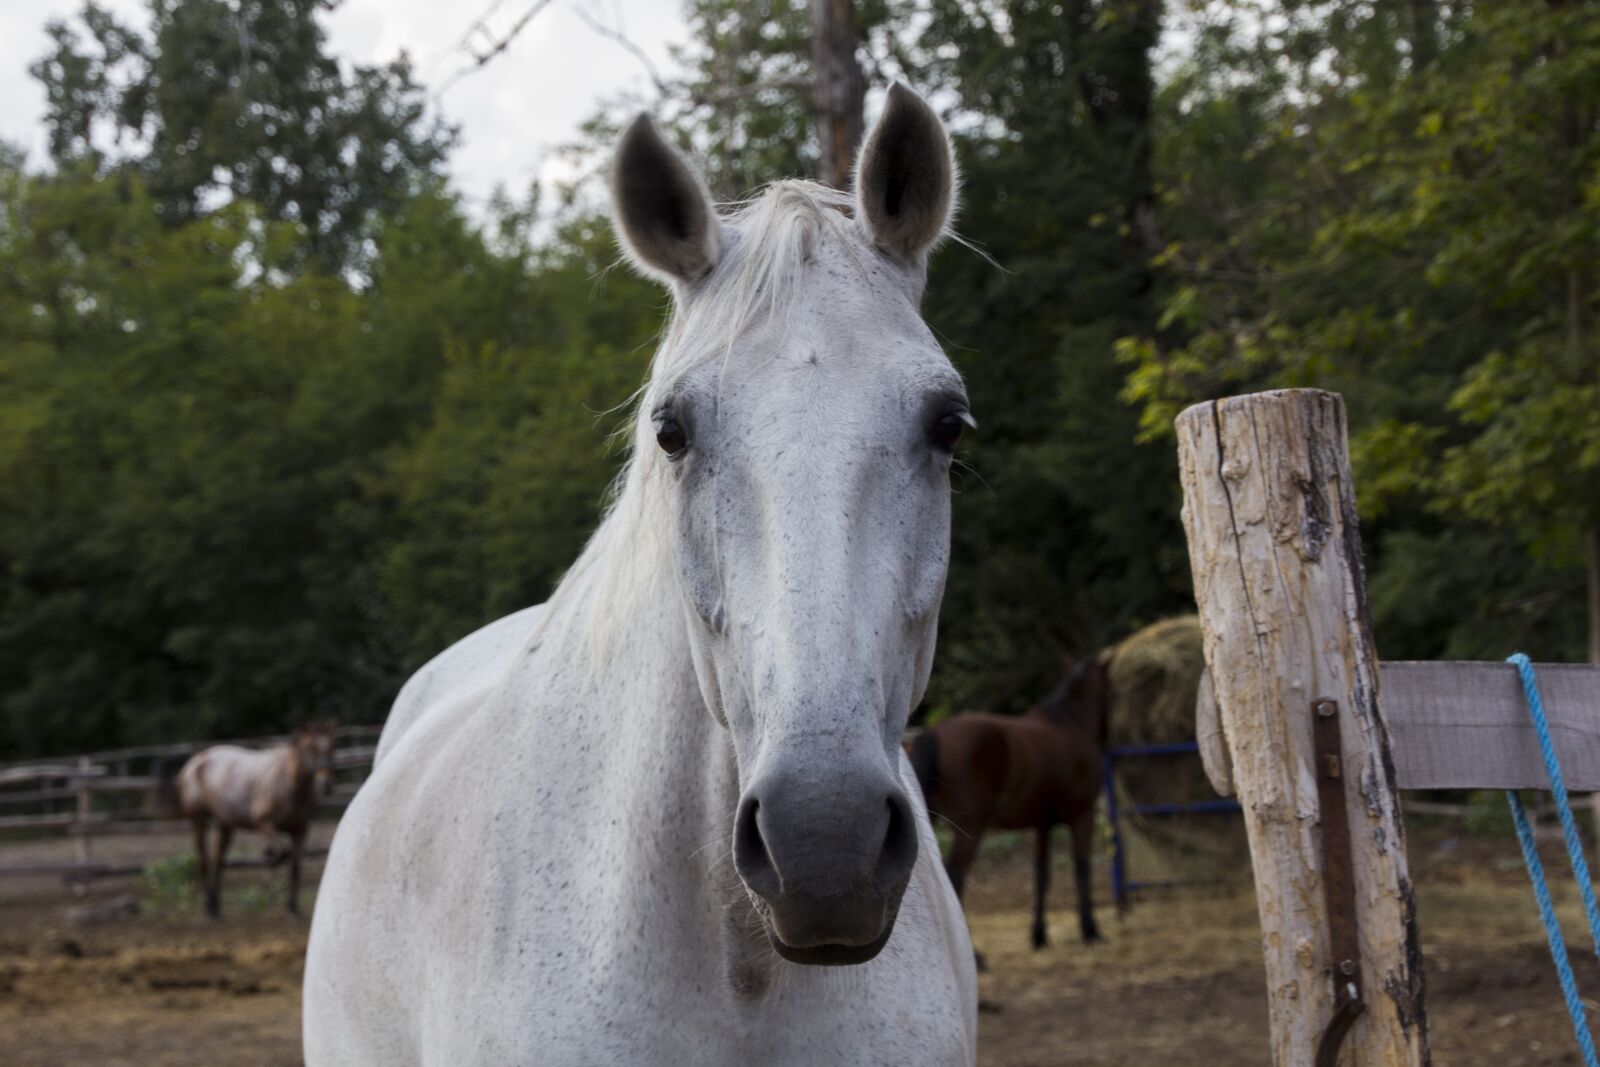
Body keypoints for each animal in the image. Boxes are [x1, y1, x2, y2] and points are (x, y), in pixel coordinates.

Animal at [175, 722, 336, 918]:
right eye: (310, 748)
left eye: (332, 747)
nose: (326, 785)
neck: (291, 783)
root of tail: (193, 763)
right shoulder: (263, 822)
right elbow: (282, 853)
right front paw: (271, 864)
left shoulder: (300, 829)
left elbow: (295, 867)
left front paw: (293, 907)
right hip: (198, 820)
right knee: (203, 860)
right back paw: (208, 906)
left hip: (224, 824)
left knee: (218, 860)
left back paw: (216, 906)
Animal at [909, 655, 1110, 955]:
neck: (1071, 725)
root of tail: (934, 732)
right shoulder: (1081, 816)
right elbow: (1081, 868)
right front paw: (1091, 930)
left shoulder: (1042, 825)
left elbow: (1041, 875)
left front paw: (1039, 936)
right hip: (970, 829)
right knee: (954, 875)